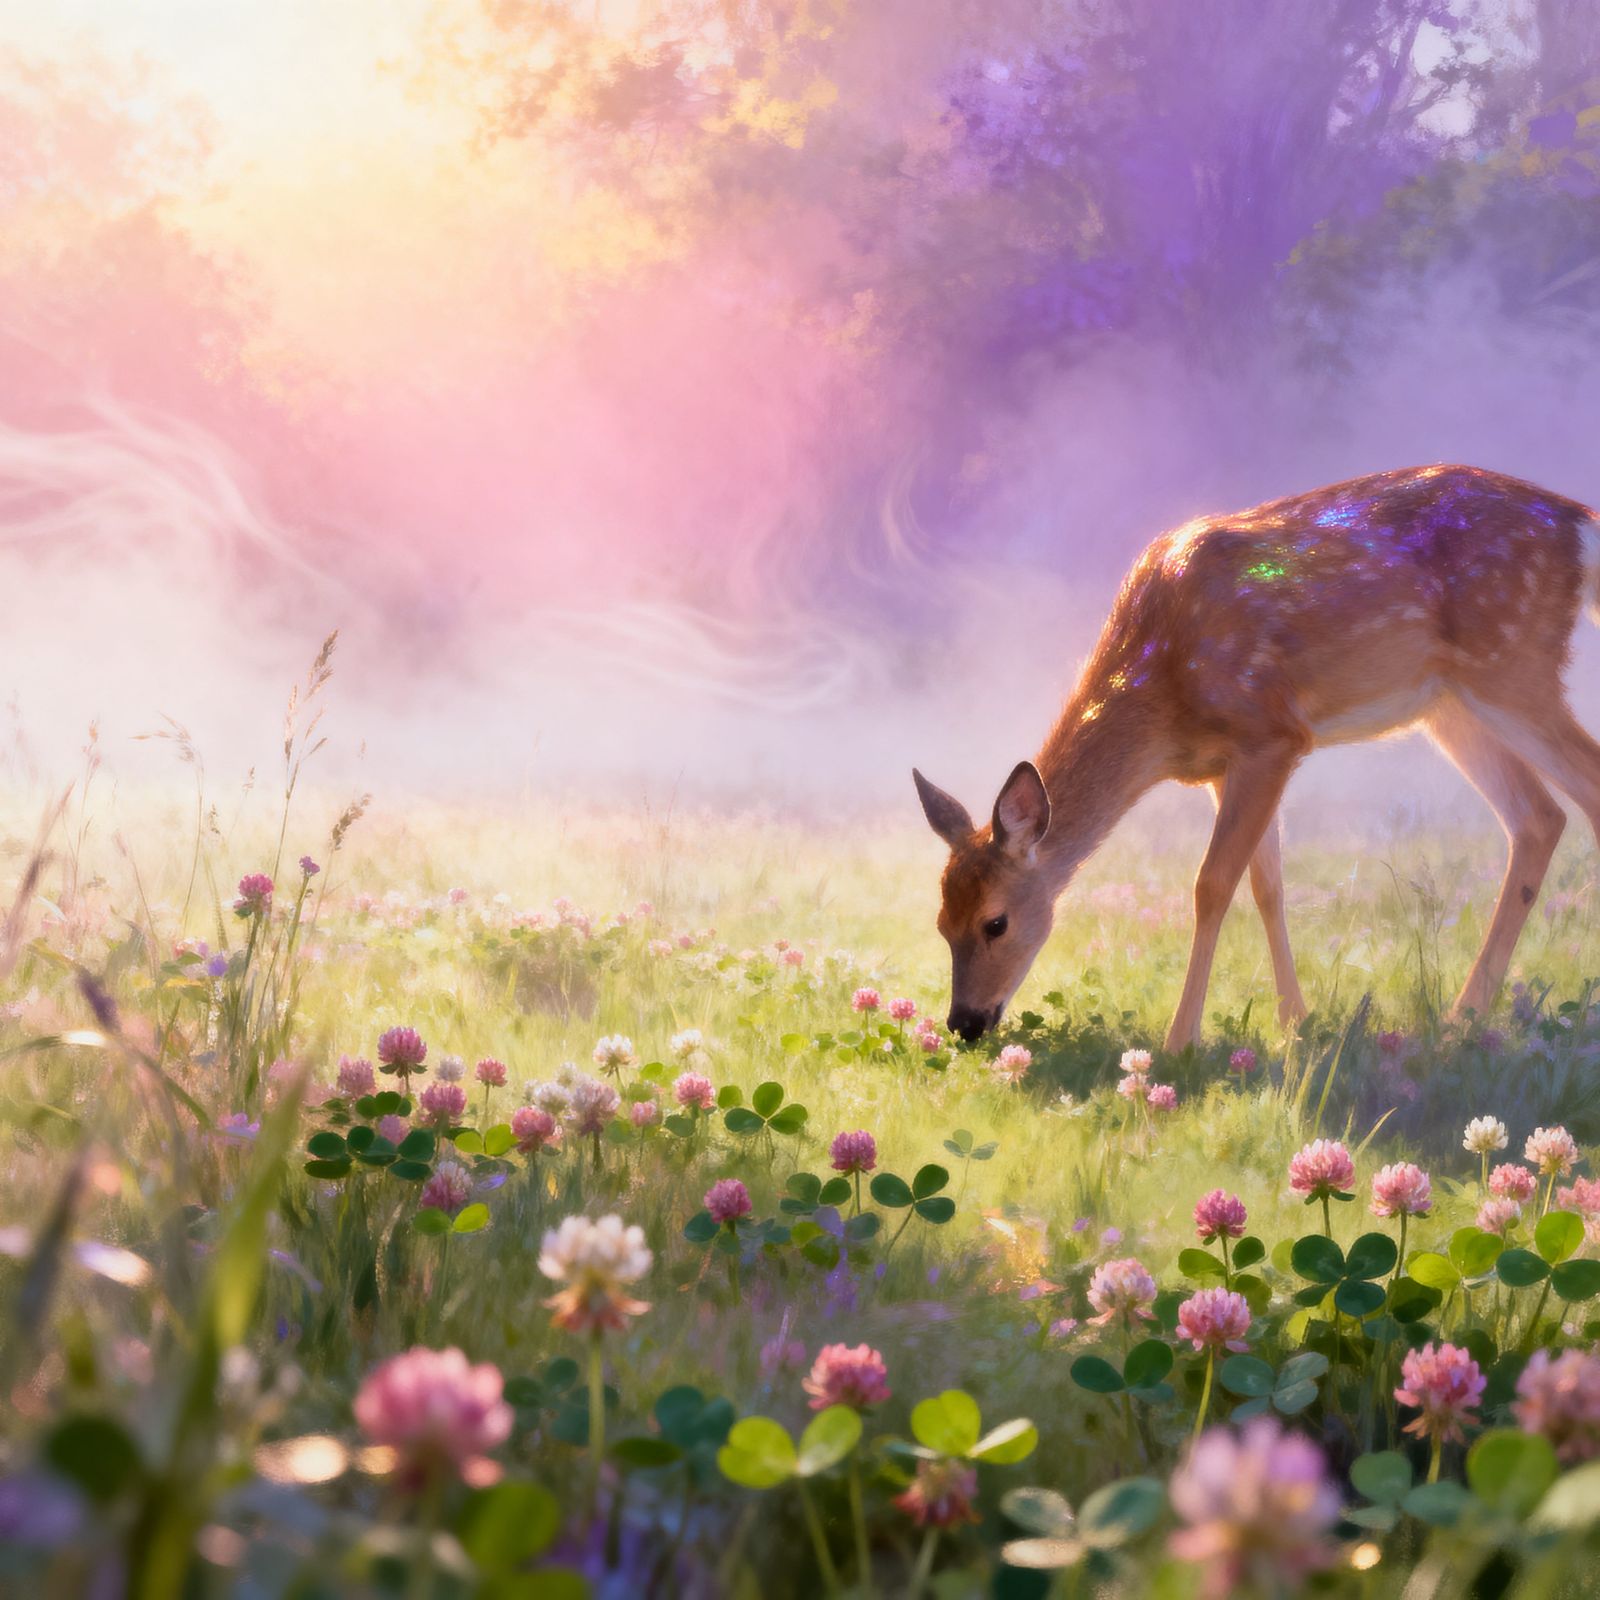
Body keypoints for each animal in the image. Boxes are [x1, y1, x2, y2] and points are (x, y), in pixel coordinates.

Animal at [914, 464, 1600, 1052]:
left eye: (996, 923)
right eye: (941, 923)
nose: (965, 1024)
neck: (1164, 699)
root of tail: (1577, 521)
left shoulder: (1272, 733)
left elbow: (1212, 884)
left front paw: (1180, 1041)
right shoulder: (1227, 765)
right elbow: (1267, 884)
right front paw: (1295, 1020)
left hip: (1511, 662)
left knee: (1582, 789)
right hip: (1450, 702)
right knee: (1539, 818)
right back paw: (1465, 1013)